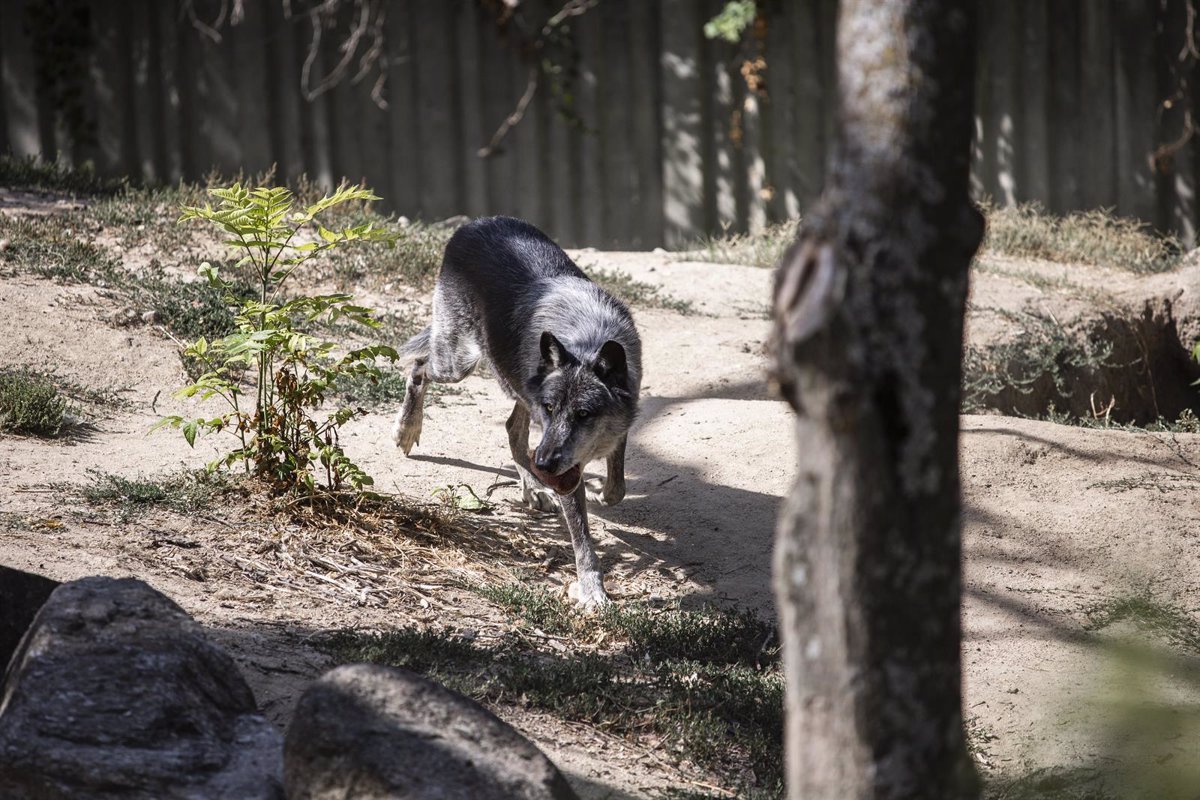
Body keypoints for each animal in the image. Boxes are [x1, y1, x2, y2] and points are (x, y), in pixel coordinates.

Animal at [391, 215, 638, 604]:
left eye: (583, 414)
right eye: (551, 408)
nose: (546, 465)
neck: (587, 339)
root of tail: (475, 222)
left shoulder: (620, 422)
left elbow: (618, 485)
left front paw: (600, 492)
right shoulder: (557, 448)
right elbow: (582, 537)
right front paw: (592, 590)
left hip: (513, 384)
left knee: (513, 431)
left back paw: (535, 488)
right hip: (459, 363)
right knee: (418, 366)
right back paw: (407, 429)